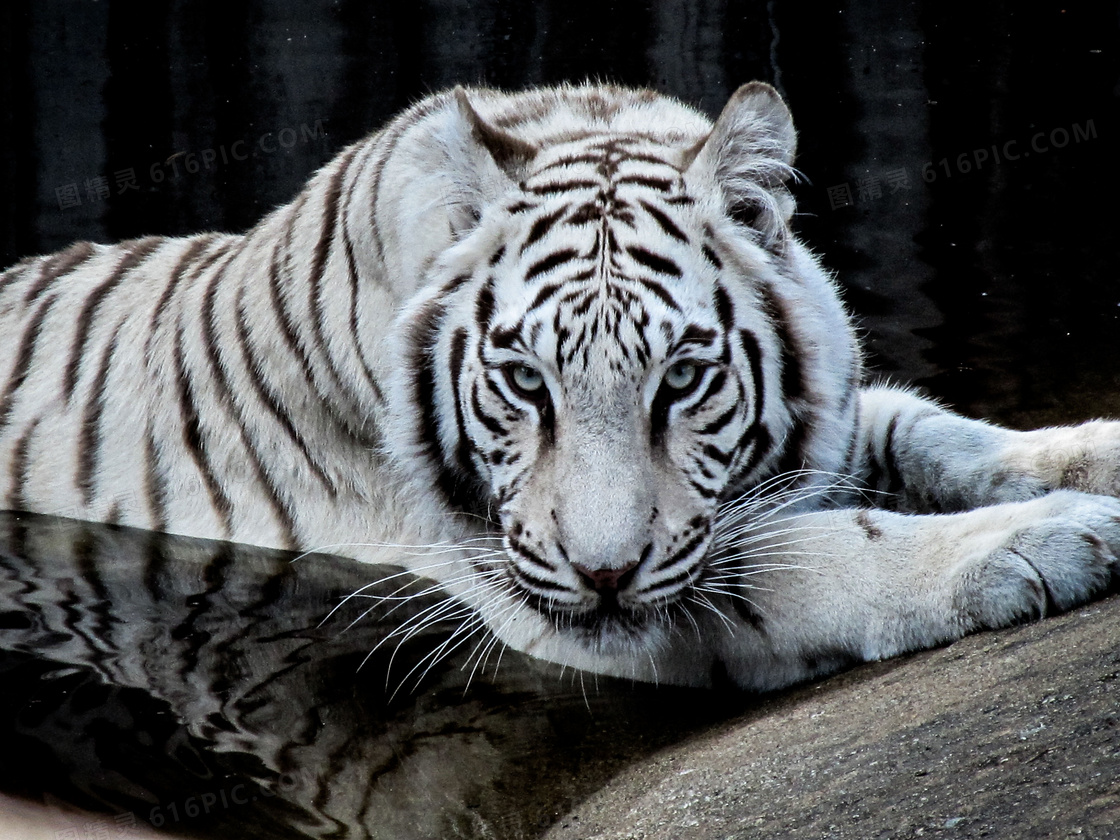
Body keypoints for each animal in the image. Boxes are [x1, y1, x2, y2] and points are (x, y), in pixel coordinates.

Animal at [2, 82, 1120, 694]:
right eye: (523, 383)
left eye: (683, 378)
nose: (605, 575)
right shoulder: (525, 584)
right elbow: (825, 551)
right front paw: (1047, 541)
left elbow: (937, 433)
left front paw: (1089, 457)